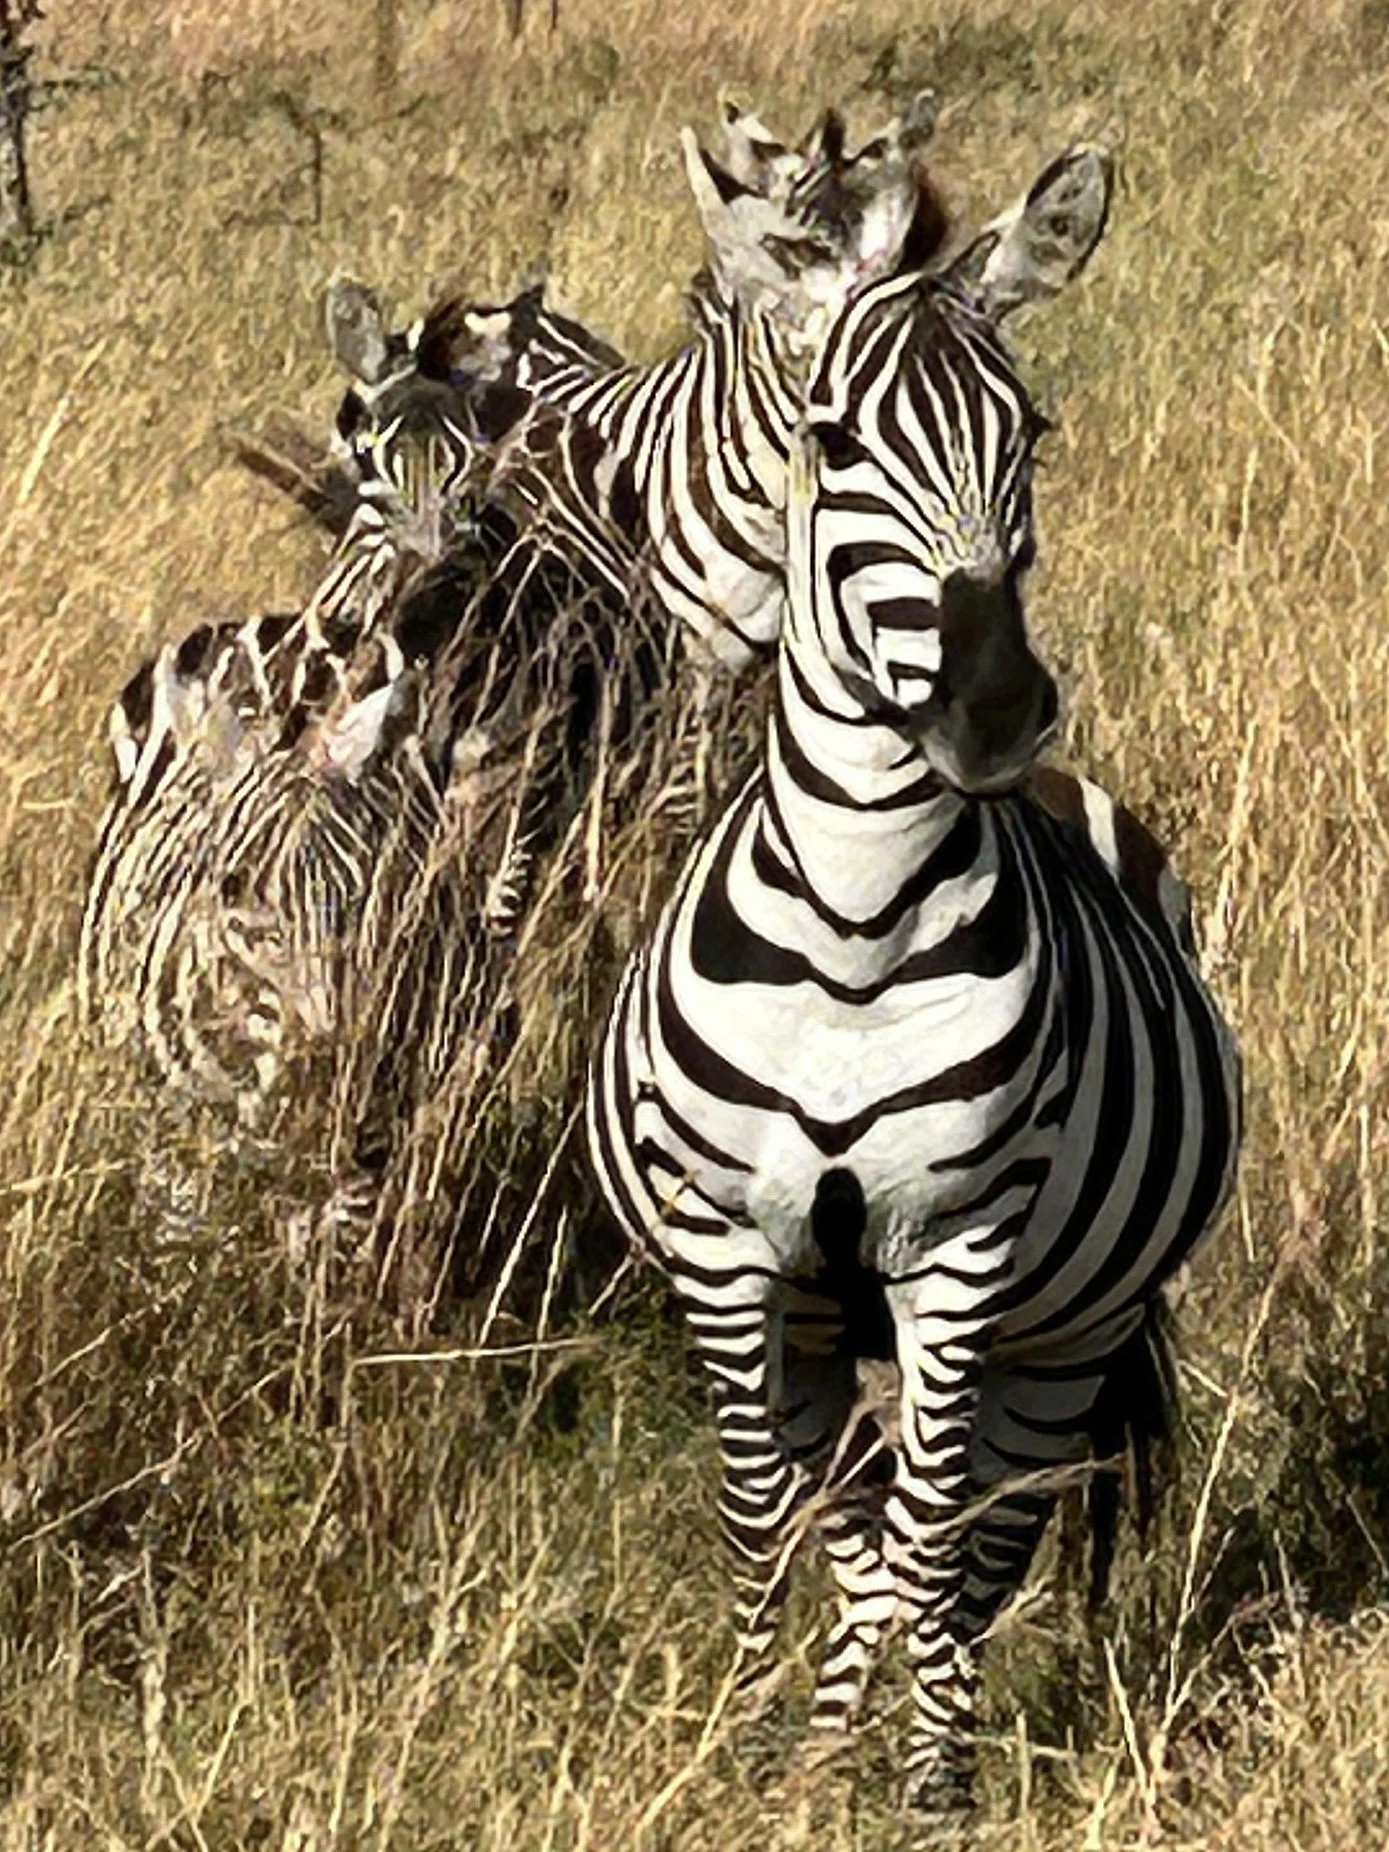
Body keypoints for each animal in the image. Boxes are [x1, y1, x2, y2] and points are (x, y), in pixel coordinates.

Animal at [586, 144, 1241, 1811]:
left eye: (1033, 436)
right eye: (831, 440)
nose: (995, 712)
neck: (854, 922)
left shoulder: (960, 1248)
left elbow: (936, 1531)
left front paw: (926, 1783)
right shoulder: (726, 1247)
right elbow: (772, 1516)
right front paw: (750, 1755)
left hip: (1066, 1327)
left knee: (975, 1523)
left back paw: (899, 1745)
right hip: (826, 1319)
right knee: (852, 1515)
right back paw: (819, 1744)